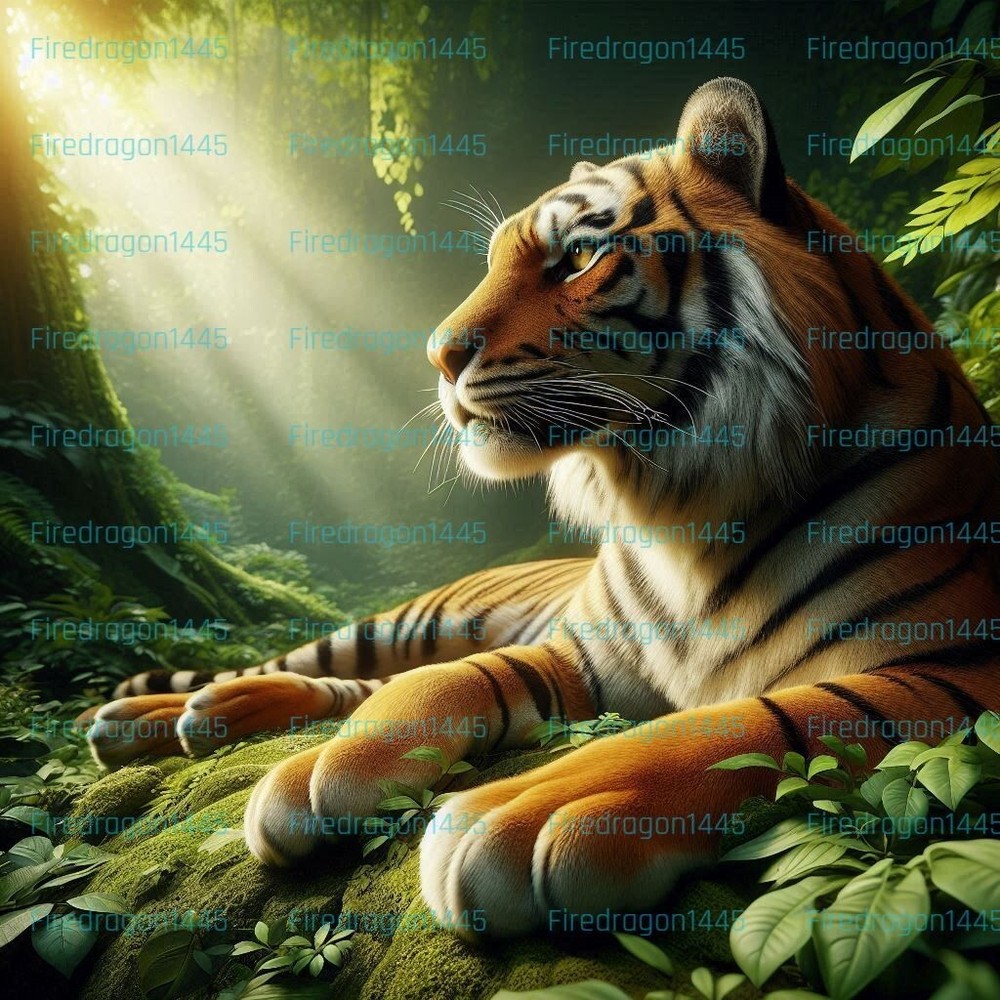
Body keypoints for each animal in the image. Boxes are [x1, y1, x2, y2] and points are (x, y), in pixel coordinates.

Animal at [84, 78, 1000, 939]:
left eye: (579, 257)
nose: (437, 356)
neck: (680, 505)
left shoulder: (955, 669)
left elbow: (756, 722)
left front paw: (528, 810)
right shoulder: (577, 652)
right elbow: (445, 681)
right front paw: (322, 771)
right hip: (394, 623)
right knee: (314, 670)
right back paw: (147, 716)